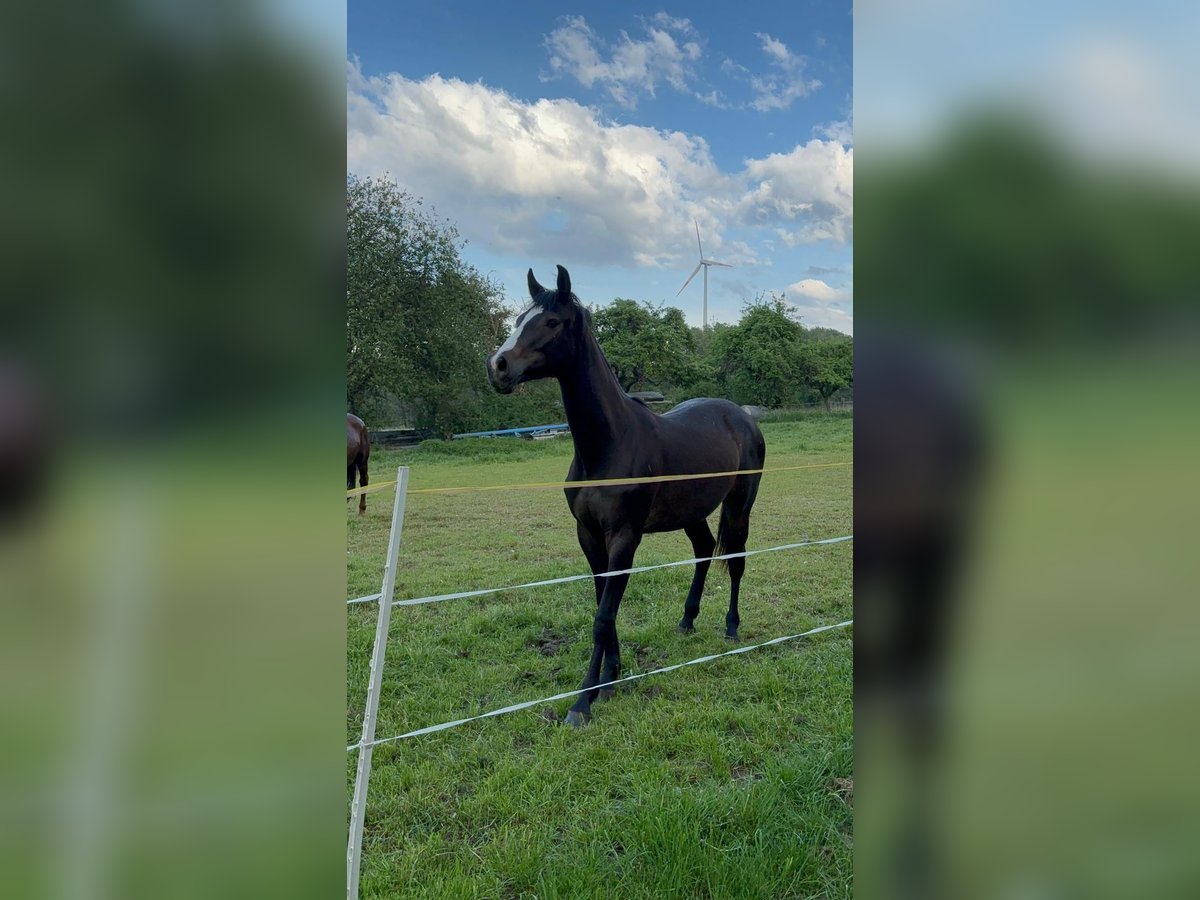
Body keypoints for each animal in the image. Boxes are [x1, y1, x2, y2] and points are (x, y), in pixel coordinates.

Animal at [487, 265, 766, 726]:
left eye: (551, 321)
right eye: (517, 320)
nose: (498, 366)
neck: (609, 444)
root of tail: (741, 416)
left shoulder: (624, 537)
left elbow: (603, 615)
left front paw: (582, 703)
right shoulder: (588, 535)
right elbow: (604, 601)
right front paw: (610, 679)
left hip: (739, 506)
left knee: (736, 559)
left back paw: (731, 627)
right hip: (692, 512)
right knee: (704, 550)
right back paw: (686, 621)